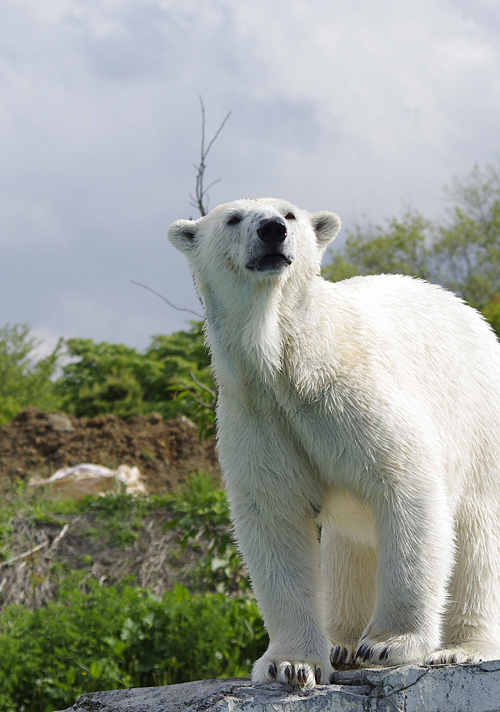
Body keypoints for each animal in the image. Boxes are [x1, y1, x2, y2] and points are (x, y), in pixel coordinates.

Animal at [167, 197, 500, 688]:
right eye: (233, 218)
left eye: (289, 214)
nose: (272, 230)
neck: (288, 360)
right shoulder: (256, 414)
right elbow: (275, 519)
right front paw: (290, 664)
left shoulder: (348, 396)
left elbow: (407, 487)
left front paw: (388, 644)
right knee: (347, 549)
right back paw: (341, 643)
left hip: (478, 424)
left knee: (477, 535)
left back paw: (462, 648)